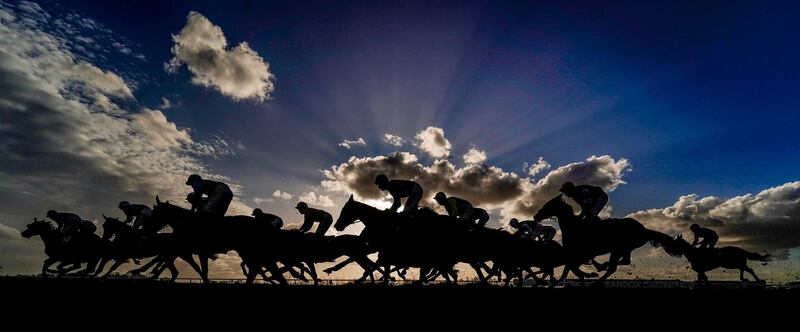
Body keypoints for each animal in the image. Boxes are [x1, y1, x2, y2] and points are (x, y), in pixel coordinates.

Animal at [536, 195, 680, 286]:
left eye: (548, 205)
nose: (536, 216)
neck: (573, 226)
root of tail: (644, 229)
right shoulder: (574, 255)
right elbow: (568, 270)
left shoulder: (578, 254)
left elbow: (570, 269)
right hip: (623, 249)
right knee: (622, 262)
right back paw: (601, 269)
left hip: (619, 248)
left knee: (613, 267)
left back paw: (597, 278)